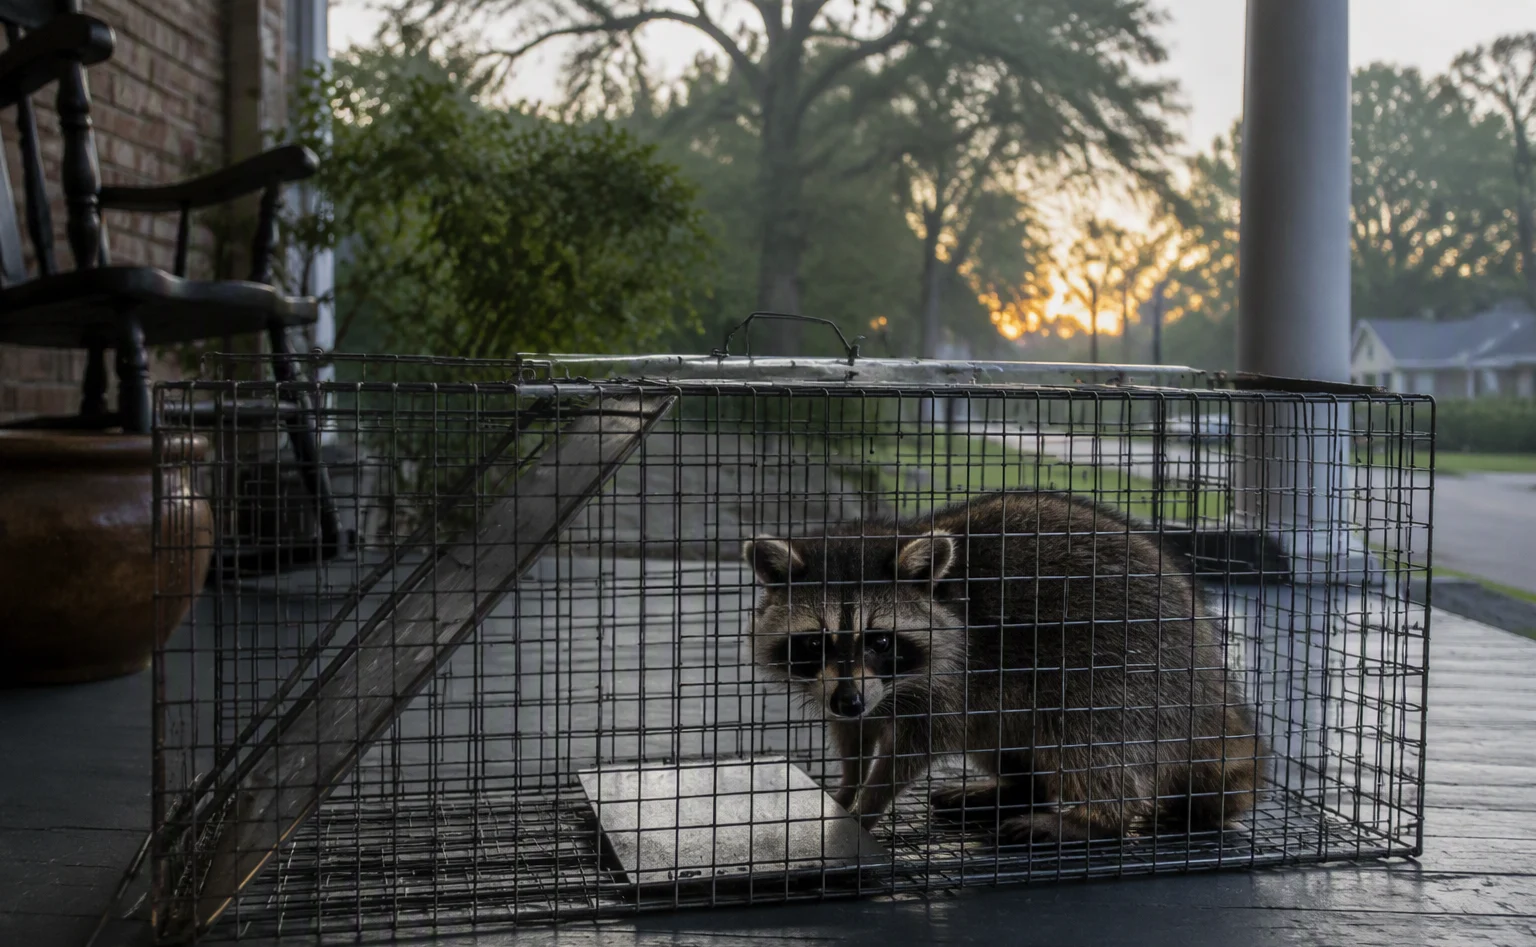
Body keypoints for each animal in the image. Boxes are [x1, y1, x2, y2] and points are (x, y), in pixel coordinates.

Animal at [743, 490, 1262, 845]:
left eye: (881, 641)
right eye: (815, 642)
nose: (848, 701)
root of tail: (1210, 679)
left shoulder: (952, 678)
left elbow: (912, 750)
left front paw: (864, 810)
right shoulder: (849, 688)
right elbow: (855, 737)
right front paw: (846, 788)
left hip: (1133, 673)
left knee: (1085, 737)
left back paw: (1091, 820)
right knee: (1005, 735)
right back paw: (1013, 787)